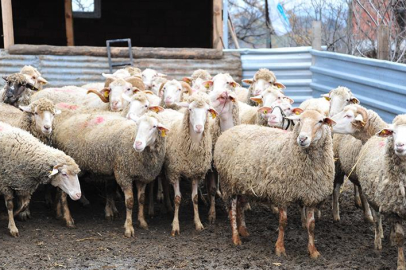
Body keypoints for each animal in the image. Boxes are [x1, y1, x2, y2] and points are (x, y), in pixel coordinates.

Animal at [163, 92, 217, 235]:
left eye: (207, 110)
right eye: (190, 109)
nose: (199, 127)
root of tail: (167, 110)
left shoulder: (196, 173)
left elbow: (195, 198)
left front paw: (198, 222)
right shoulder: (175, 171)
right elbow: (177, 198)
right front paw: (175, 225)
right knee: (164, 186)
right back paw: (168, 206)